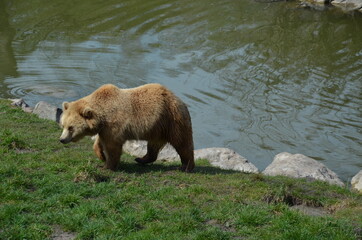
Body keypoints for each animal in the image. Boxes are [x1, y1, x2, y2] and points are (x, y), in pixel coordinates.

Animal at [59, 83, 195, 172]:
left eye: (71, 127)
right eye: (63, 125)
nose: (62, 139)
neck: (102, 116)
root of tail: (179, 99)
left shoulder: (114, 125)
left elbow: (112, 147)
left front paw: (107, 166)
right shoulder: (105, 129)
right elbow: (100, 141)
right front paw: (101, 155)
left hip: (172, 120)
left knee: (182, 143)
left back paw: (186, 167)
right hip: (157, 128)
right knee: (153, 147)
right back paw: (140, 159)